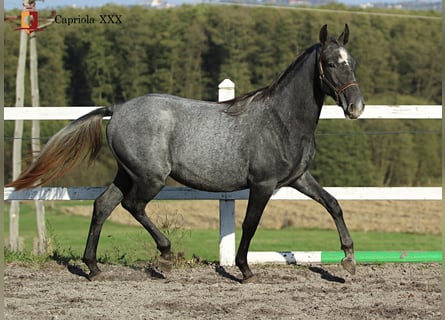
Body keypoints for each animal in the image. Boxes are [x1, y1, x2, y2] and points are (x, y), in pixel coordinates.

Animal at [6, 23, 364, 282]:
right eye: (331, 63)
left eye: (352, 62)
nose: (356, 107)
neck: (281, 119)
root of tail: (117, 109)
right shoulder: (263, 184)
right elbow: (250, 224)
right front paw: (245, 270)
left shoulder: (299, 178)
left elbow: (333, 204)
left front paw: (348, 259)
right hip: (150, 177)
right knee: (132, 205)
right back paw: (165, 255)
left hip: (127, 173)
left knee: (102, 205)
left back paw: (93, 268)